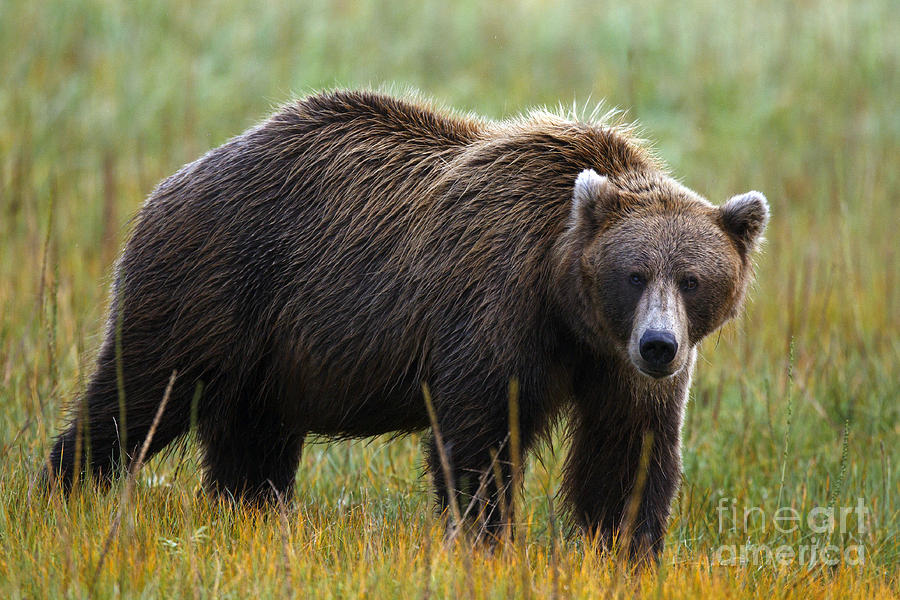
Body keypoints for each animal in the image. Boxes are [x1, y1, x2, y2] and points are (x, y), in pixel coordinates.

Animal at [47, 90, 768, 564]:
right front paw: (487, 544)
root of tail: (172, 181)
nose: (659, 345)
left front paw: (624, 552)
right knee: (139, 394)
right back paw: (66, 488)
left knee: (254, 442)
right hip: (215, 283)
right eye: (635, 273)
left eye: (692, 279)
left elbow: (628, 449)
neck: (566, 303)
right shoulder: (494, 308)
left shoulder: (612, 365)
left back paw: (251, 514)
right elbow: (478, 438)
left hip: (275, 352)